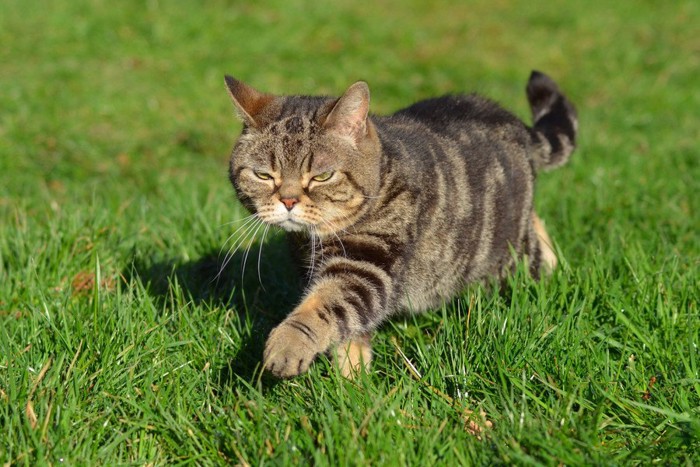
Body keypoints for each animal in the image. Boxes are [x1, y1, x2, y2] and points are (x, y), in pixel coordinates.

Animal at [226, 71, 580, 378]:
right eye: (263, 175)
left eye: (322, 176)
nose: (288, 201)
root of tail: (511, 119)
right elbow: (346, 330)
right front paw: (352, 381)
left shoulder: (365, 267)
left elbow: (319, 310)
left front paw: (288, 346)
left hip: (512, 255)